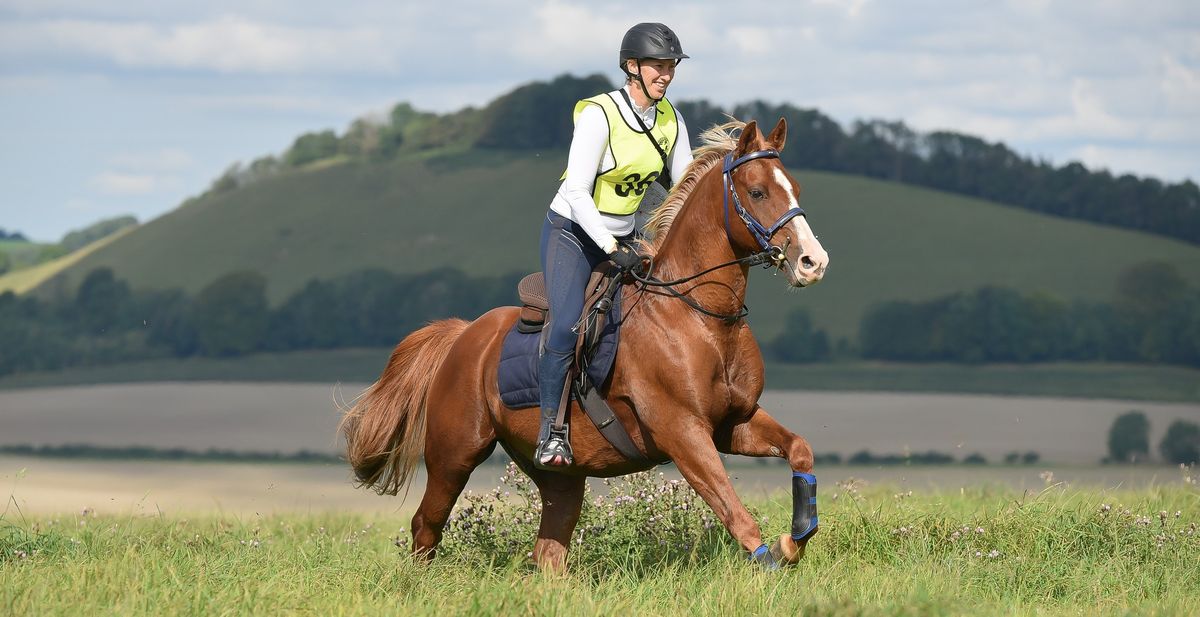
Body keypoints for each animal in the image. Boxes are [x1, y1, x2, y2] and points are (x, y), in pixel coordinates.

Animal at [338, 117, 825, 568]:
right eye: (757, 192)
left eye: (797, 188)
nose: (813, 262)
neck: (700, 316)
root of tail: (463, 334)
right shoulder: (682, 431)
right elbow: (735, 513)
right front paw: (772, 559)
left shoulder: (733, 422)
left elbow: (800, 450)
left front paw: (796, 539)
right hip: (454, 453)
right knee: (427, 525)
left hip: (560, 477)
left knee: (549, 550)